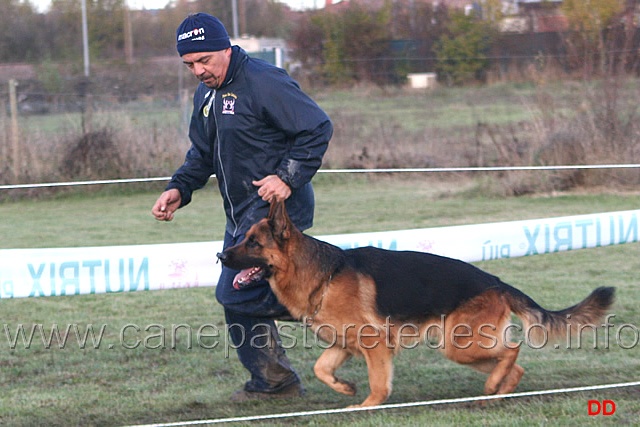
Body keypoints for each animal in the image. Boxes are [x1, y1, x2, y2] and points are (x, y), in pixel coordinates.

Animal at [216, 201, 616, 408]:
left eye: (253, 243)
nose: (220, 256)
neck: (322, 275)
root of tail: (497, 282)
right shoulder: (344, 345)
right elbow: (320, 369)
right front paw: (345, 388)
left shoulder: (375, 345)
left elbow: (378, 384)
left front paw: (366, 407)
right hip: (461, 346)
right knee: (513, 365)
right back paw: (495, 394)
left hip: (459, 344)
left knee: (513, 350)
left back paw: (493, 386)